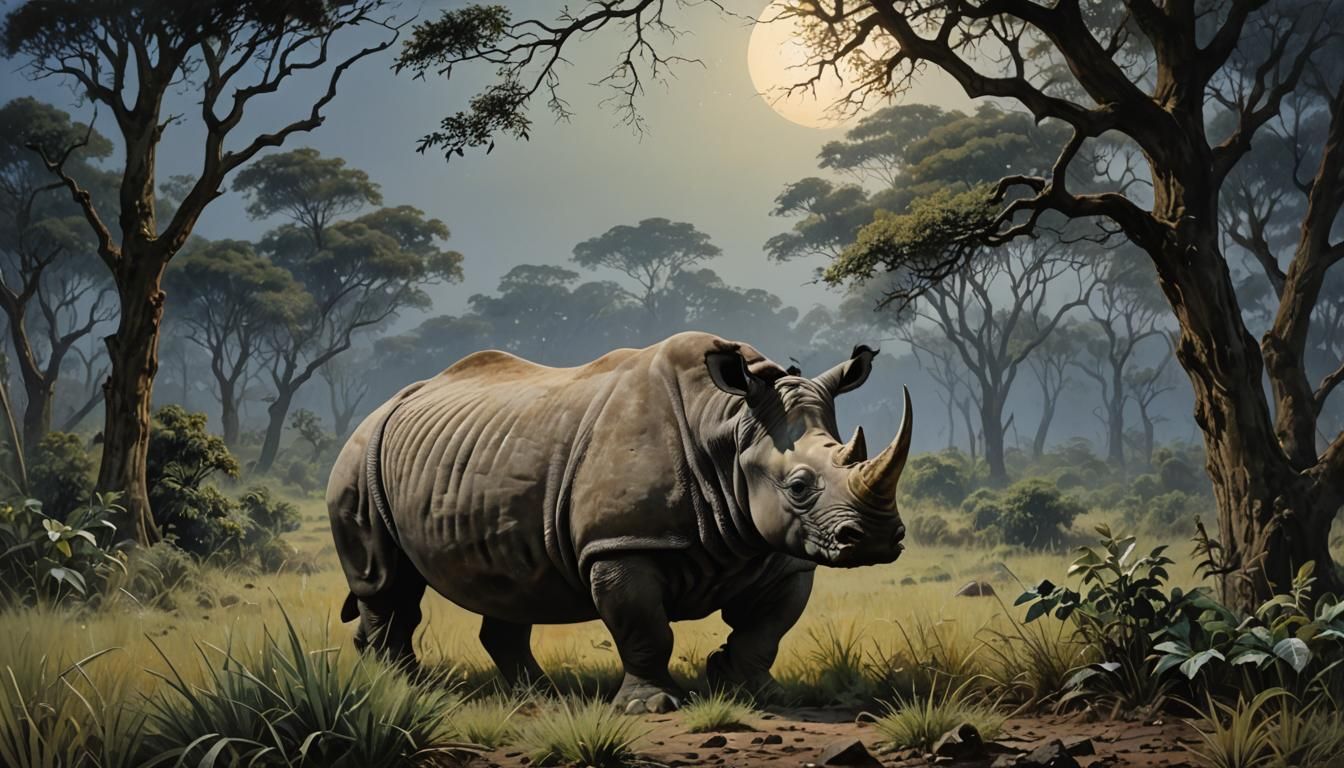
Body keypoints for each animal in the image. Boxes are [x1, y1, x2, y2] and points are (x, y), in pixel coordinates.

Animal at [328, 332, 910, 712]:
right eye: (798, 487)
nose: (878, 539)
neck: (728, 429)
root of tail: (385, 404)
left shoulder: (773, 549)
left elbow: (768, 626)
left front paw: (748, 687)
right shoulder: (619, 543)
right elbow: (644, 626)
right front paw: (652, 706)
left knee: (508, 588)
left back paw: (535, 695)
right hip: (359, 457)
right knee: (387, 583)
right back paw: (403, 688)